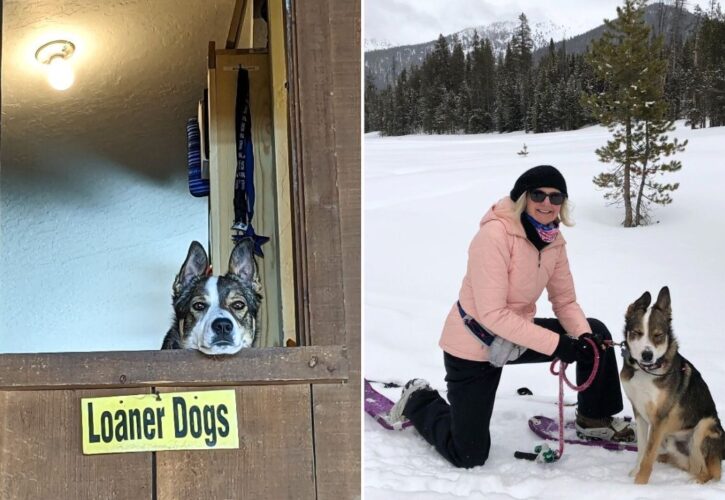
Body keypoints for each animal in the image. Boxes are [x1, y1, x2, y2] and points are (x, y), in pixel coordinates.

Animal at [620, 288, 720, 482]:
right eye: (637, 332)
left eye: (658, 335)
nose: (647, 355)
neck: (646, 371)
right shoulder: (639, 412)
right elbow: (642, 450)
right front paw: (634, 474)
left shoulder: (659, 418)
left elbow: (648, 456)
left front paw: (639, 483)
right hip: (671, 440)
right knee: (691, 466)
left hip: (703, 426)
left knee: (707, 473)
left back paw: (694, 483)